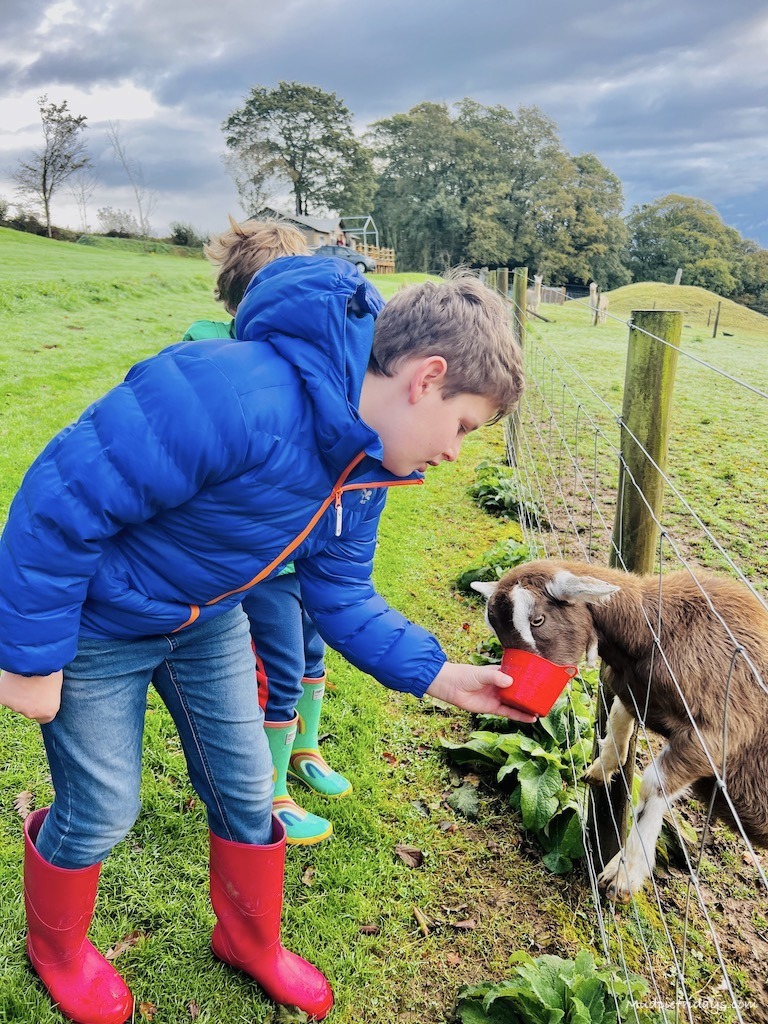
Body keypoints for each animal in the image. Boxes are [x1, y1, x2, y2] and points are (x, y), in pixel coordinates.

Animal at [472, 559, 768, 901]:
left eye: (537, 620)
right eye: (496, 628)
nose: (516, 695)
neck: (654, 633)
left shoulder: (716, 732)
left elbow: (654, 786)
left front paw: (624, 873)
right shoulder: (629, 689)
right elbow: (616, 719)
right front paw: (600, 769)